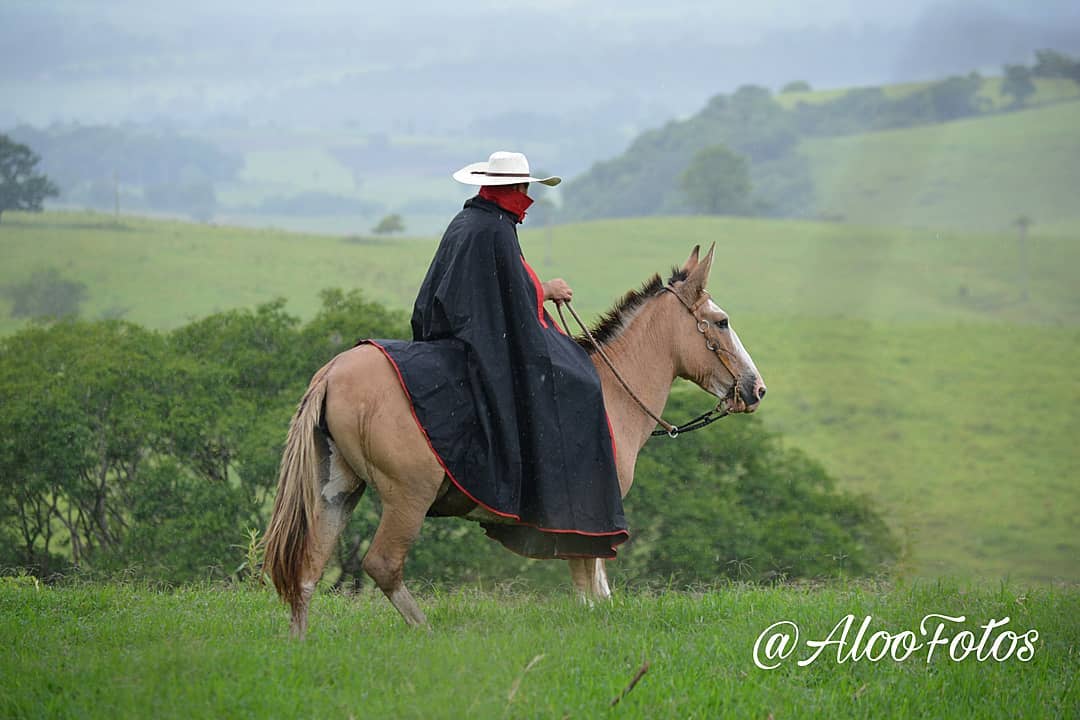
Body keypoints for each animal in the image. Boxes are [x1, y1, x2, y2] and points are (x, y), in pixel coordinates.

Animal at [264, 243, 764, 634]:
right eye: (721, 322)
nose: (755, 388)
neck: (612, 393)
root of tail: (332, 372)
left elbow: (598, 589)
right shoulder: (587, 518)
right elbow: (589, 589)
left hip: (337, 489)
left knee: (307, 571)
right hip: (408, 495)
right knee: (382, 565)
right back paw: (426, 633)